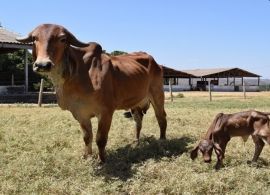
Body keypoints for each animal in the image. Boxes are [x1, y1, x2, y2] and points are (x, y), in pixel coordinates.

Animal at [16, 23, 167, 162]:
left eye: (62, 39)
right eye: (35, 38)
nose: (42, 64)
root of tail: (154, 62)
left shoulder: (106, 112)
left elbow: (101, 139)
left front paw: (102, 160)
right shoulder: (79, 113)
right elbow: (87, 137)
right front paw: (87, 156)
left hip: (157, 95)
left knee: (161, 118)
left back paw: (162, 140)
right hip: (135, 104)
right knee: (138, 121)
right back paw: (136, 142)